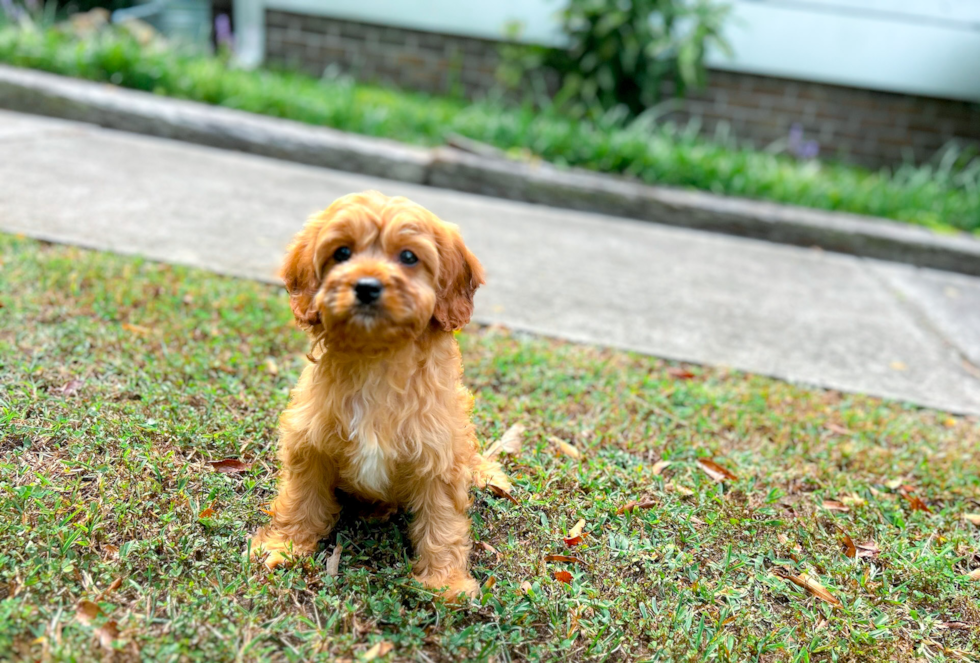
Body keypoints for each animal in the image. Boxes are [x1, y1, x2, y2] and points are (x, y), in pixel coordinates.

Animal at [251, 189, 506, 600]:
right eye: (341, 252)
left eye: (409, 257)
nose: (367, 286)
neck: (376, 356)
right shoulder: (309, 443)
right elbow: (300, 499)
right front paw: (283, 546)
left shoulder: (440, 457)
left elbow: (443, 522)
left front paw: (445, 582)